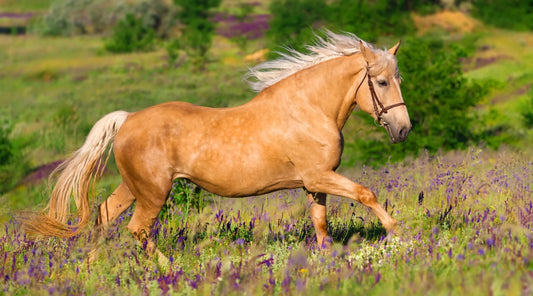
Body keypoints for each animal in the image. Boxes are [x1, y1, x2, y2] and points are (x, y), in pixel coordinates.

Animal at [20, 31, 412, 260]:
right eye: (381, 82)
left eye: (399, 78)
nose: (403, 129)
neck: (310, 109)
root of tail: (127, 119)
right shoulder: (319, 177)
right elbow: (366, 194)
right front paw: (396, 234)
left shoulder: (316, 182)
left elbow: (321, 224)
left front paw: (327, 260)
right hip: (153, 192)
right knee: (137, 228)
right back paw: (167, 268)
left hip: (134, 187)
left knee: (104, 215)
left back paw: (92, 266)